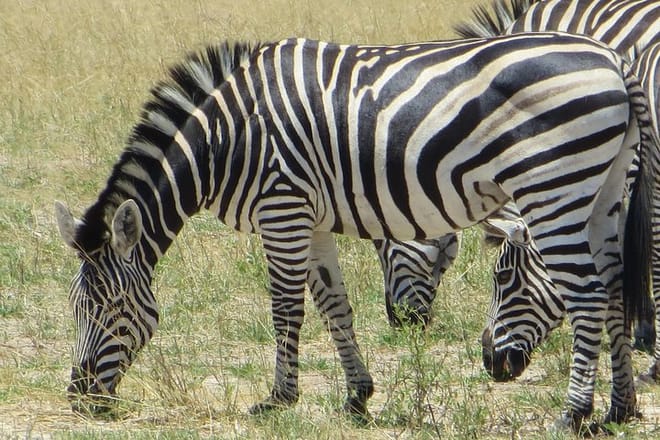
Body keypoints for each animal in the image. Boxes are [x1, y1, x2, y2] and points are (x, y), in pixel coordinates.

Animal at [54, 34, 655, 432]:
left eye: (110, 308)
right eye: (76, 307)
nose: (80, 397)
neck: (225, 141)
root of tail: (614, 59)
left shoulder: (281, 207)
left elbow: (286, 310)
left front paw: (278, 399)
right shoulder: (311, 217)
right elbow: (334, 306)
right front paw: (357, 398)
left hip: (551, 186)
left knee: (588, 294)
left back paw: (574, 414)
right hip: (600, 193)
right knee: (614, 286)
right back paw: (620, 408)